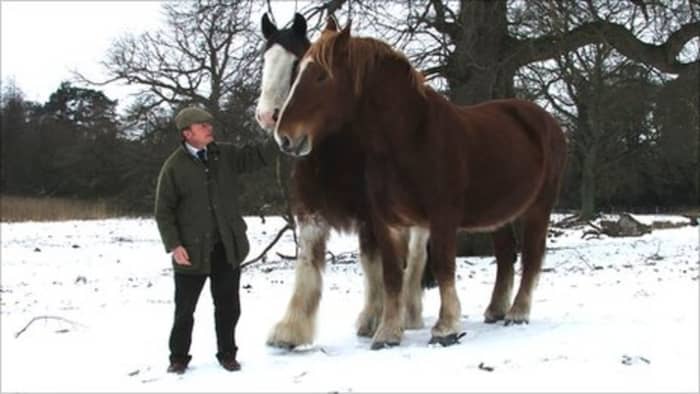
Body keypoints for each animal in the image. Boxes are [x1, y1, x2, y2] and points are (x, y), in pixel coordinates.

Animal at [256, 13, 430, 350]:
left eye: (295, 65)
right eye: (265, 60)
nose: (268, 117)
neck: (335, 151)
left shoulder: (372, 216)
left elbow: (376, 265)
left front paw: (378, 318)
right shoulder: (310, 212)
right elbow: (308, 263)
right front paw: (290, 330)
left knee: (415, 259)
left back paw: (411, 312)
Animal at [274, 20, 568, 350]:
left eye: (322, 76)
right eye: (298, 73)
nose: (285, 136)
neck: (411, 138)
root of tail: (547, 121)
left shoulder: (442, 217)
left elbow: (443, 266)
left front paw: (446, 327)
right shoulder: (385, 221)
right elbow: (391, 274)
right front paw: (388, 332)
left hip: (539, 208)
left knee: (531, 256)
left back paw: (518, 312)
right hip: (499, 216)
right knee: (506, 256)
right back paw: (496, 310)